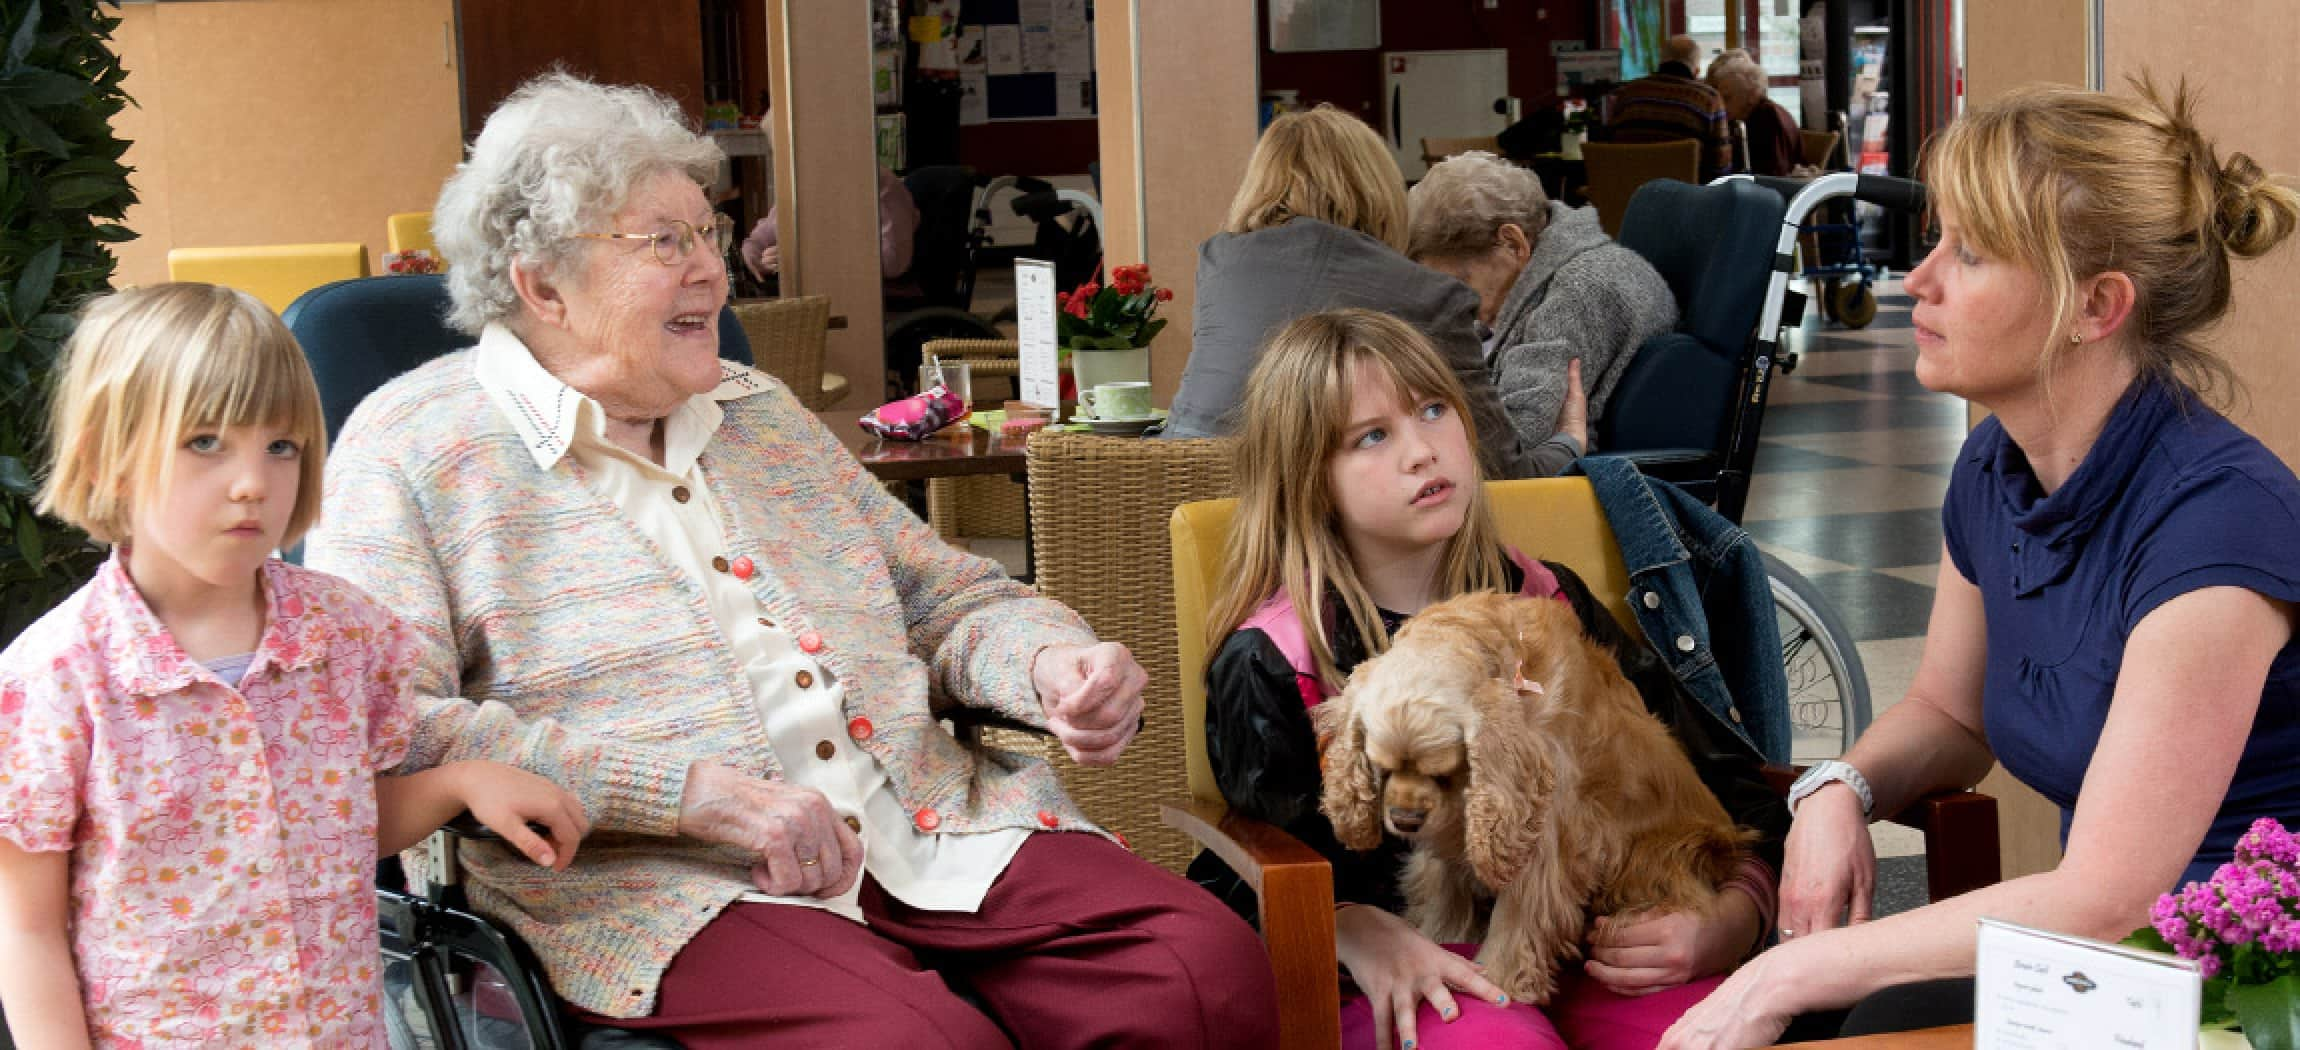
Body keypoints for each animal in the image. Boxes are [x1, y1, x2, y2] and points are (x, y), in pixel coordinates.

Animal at [1315, 585, 1738, 1001]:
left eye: (1443, 771)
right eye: (1379, 764)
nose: (1404, 820)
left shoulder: (1542, 836)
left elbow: (1518, 914)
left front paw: (1501, 982)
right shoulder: (1451, 834)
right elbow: (1442, 891)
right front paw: (1438, 940)